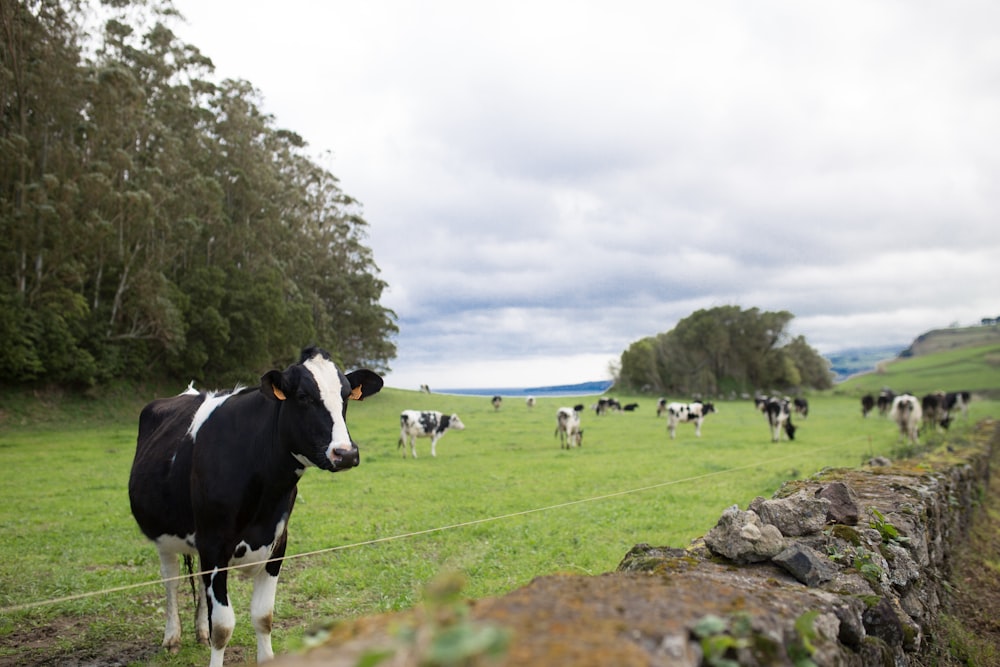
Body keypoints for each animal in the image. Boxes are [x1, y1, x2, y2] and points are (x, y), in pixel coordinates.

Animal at [128, 348, 382, 664]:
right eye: (302, 396)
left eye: (346, 395)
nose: (345, 454)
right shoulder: (214, 544)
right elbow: (223, 627)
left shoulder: (277, 544)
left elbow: (263, 617)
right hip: (164, 536)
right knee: (171, 581)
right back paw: (172, 637)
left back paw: (199, 632)